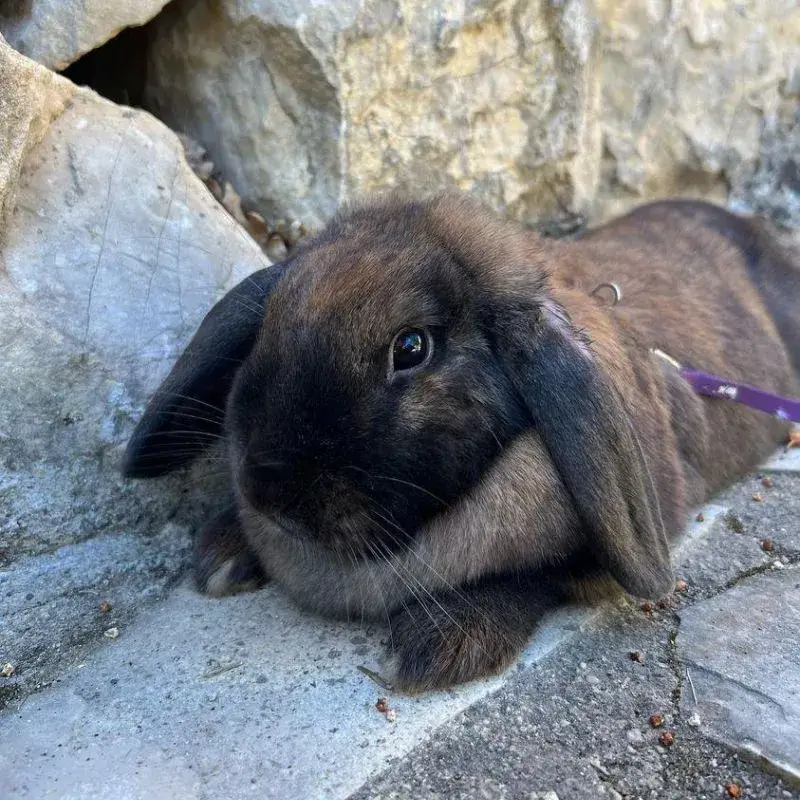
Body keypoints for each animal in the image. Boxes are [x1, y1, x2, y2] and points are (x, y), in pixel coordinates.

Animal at [120, 195, 800, 692]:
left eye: (411, 348)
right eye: (270, 323)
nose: (269, 492)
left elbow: (540, 576)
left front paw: (437, 646)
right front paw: (224, 553)